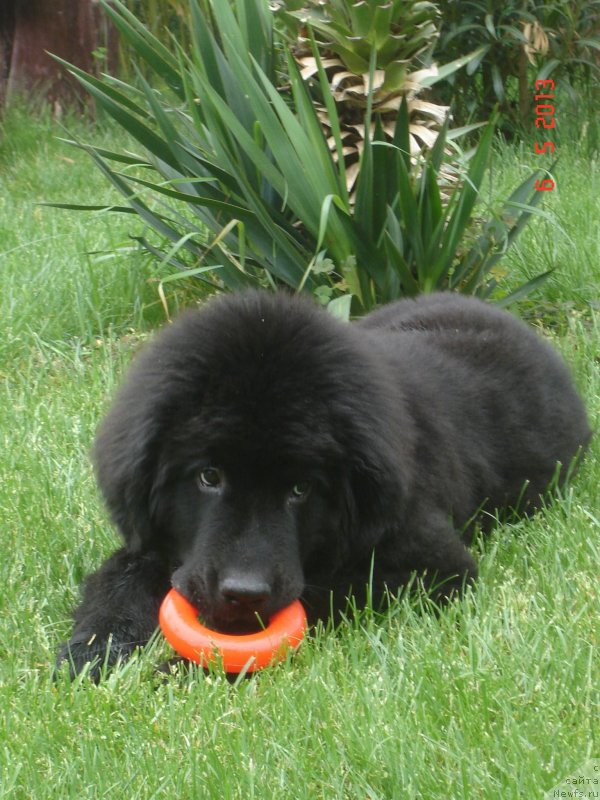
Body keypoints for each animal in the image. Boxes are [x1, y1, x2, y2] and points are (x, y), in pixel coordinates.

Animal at [56, 290, 592, 676]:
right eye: (208, 476)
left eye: (301, 489)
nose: (244, 592)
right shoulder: (154, 541)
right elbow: (117, 578)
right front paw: (92, 651)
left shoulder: (435, 566)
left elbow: (319, 596)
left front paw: (180, 667)